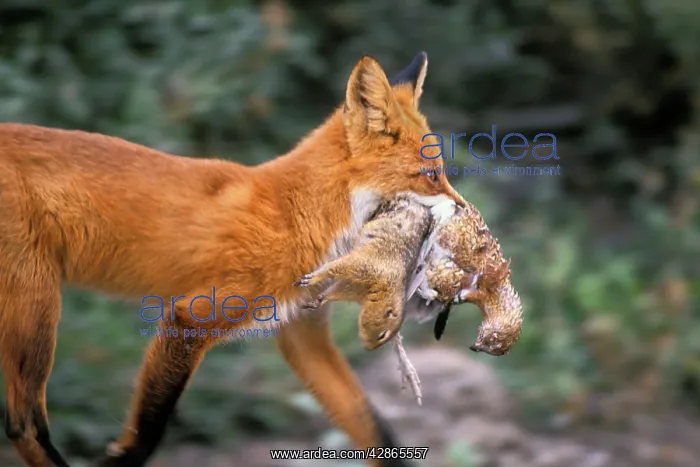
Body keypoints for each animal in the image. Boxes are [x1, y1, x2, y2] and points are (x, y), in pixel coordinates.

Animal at [0, 51, 467, 467]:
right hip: (37, 309)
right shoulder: (191, 316)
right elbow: (150, 426)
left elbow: (374, 430)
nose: (465, 210)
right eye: (431, 175)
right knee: (23, 425)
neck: (300, 215)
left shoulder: (303, 333)